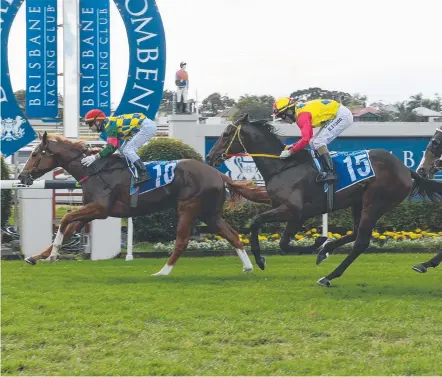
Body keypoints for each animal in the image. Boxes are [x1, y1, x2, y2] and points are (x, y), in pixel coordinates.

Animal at [18, 131, 270, 274]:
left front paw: (53, 255)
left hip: (188, 208)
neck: (94, 170)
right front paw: (35, 257)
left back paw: (162, 272)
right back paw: (248, 266)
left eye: (35, 154)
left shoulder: (100, 209)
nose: (22, 176)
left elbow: (66, 220)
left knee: (182, 241)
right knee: (233, 235)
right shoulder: (92, 211)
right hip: (210, 214)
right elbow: (69, 228)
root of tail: (218, 173)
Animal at [206, 114, 442, 284]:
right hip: (358, 202)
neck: (283, 167)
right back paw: (326, 251)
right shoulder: (297, 213)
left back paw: (329, 276)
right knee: (355, 233)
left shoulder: (293, 210)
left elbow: (267, 230)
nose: (210, 157)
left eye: (226, 134)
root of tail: (406, 169)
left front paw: (265, 258)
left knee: (361, 242)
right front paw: (317, 245)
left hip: (374, 202)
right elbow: (275, 236)